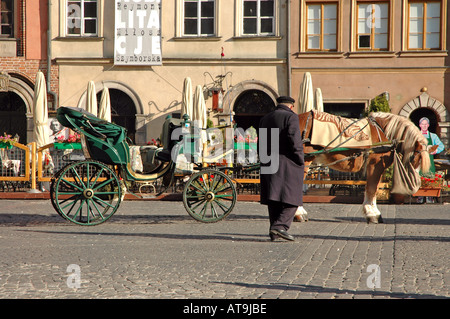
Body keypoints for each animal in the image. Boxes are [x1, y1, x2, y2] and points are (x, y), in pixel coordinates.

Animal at [292, 112, 436, 225]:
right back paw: (299, 213)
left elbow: (373, 188)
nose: (417, 183)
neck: (383, 131)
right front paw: (373, 213)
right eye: (417, 157)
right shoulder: (376, 164)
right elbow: (372, 188)